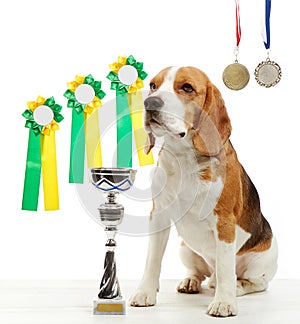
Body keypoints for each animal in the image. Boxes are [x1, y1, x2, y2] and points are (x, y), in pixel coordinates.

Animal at [130, 66, 278, 316]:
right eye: (153, 85)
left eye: (187, 88)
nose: (151, 102)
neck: (184, 158)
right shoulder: (158, 215)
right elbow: (152, 260)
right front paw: (145, 292)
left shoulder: (224, 222)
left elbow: (227, 267)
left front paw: (224, 302)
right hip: (185, 249)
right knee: (202, 274)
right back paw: (191, 281)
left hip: (263, 259)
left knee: (252, 281)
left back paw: (236, 287)